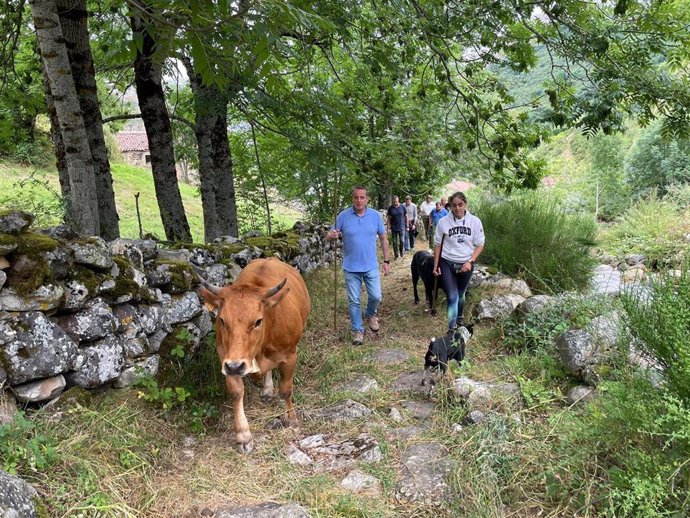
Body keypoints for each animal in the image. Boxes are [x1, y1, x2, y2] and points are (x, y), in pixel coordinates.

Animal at [195, 258, 310, 452]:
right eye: (222, 320)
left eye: (258, 321)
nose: (235, 366)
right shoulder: (227, 359)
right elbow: (236, 393)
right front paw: (243, 436)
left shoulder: (290, 355)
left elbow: (286, 390)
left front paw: (292, 419)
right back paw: (267, 389)